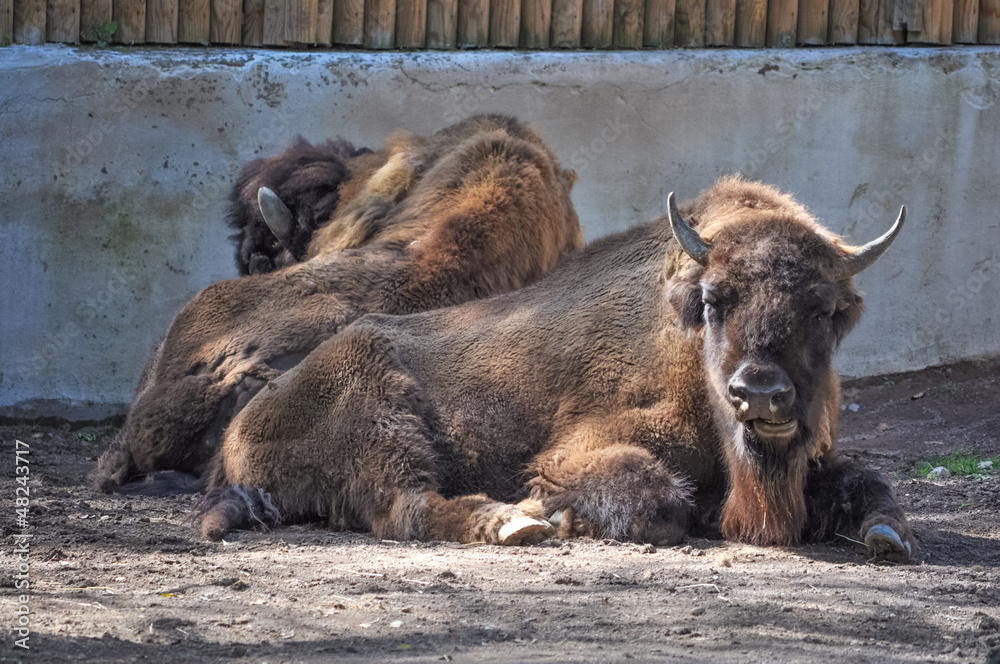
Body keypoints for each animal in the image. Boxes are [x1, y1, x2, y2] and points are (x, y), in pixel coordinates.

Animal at [198, 177, 915, 562]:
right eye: (715, 301)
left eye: (824, 308)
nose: (759, 393)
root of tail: (236, 436)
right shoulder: (576, 452)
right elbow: (657, 498)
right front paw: (561, 512)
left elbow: (871, 486)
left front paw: (888, 535)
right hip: (382, 425)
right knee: (408, 508)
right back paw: (517, 523)